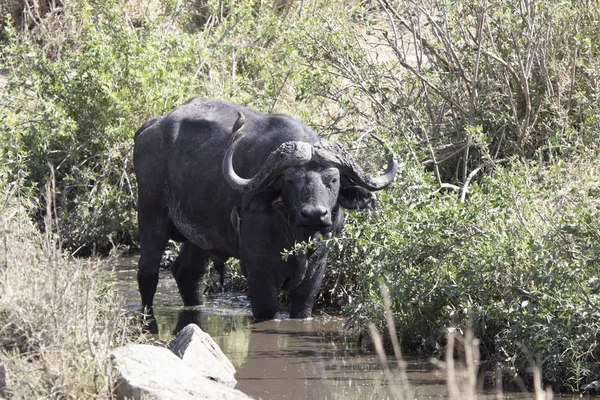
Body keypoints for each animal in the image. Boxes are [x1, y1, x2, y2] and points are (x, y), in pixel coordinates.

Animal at [136, 97, 398, 318]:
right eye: (290, 180)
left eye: (333, 179)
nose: (314, 214)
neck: (296, 236)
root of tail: (150, 127)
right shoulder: (258, 272)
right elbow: (266, 311)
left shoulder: (316, 273)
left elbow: (303, 308)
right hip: (150, 214)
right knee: (148, 272)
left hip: (199, 236)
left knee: (188, 273)